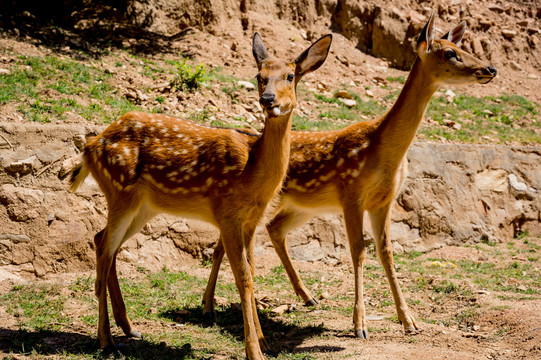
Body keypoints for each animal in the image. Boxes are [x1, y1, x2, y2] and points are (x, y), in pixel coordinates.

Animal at [69, 32, 332, 358]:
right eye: (259, 76)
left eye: (290, 76)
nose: (268, 100)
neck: (252, 172)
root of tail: (91, 146)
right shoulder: (227, 215)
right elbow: (243, 278)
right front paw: (254, 349)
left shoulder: (251, 222)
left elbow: (252, 273)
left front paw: (264, 341)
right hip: (119, 191)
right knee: (104, 248)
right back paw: (107, 341)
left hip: (143, 206)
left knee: (103, 242)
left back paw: (129, 328)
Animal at [201, 14, 494, 340]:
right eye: (450, 53)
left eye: (463, 48)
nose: (489, 69)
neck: (383, 151)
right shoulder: (351, 194)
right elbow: (358, 252)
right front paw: (360, 325)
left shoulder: (384, 201)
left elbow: (387, 252)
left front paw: (409, 321)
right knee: (222, 245)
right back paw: (208, 307)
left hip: (302, 206)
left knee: (274, 230)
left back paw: (307, 297)